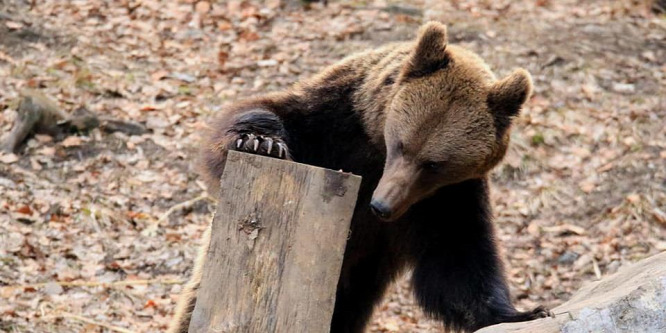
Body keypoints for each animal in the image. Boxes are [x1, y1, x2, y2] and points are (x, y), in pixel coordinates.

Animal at [169, 21, 548, 332]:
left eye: (434, 164)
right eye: (401, 144)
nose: (381, 205)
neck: (374, 146)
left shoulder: (446, 199)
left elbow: (458, 261)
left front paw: (520, 311)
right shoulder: (334, 121)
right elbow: (266, 114)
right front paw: (260, 141)